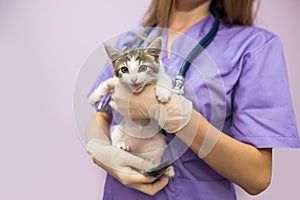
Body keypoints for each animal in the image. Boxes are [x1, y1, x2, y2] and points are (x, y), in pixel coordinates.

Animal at [88, 37, 175, 177]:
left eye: (143, 68)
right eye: (124, 70)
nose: (133, 79)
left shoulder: (161, 73)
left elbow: (164, 79)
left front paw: (163, 92)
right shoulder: (115, 80)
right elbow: (107, 82)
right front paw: (95, 95)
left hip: (158, 143)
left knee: (150, 162)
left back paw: (165, 169)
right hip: (117, 130)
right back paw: (121, 145)